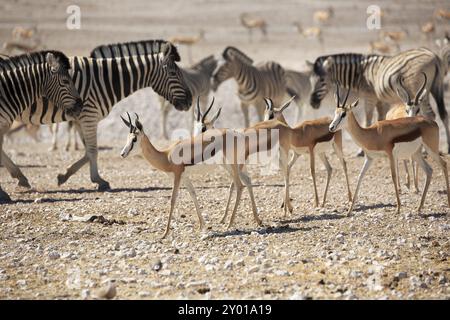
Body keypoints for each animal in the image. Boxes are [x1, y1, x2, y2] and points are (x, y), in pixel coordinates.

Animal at [7, 39, 192, 192]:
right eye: (174, 73)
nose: (190, 100)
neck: (104, 79)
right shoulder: (89, 115)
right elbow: (93, 151)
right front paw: (98, 180)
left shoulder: (82, 118)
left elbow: (88, 151)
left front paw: (65, 175)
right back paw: (20, 178)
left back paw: (20, 178)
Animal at [310, 48, 450, 154]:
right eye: (311, 79)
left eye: (321, 80)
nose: (312, 101)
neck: (362, 71)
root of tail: (434, 56)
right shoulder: (381, 101)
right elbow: (380, 118)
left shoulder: (370, 98)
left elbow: (368, 119)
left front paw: (360, 151)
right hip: (436, 88)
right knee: (443, 113)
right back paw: (447, 148)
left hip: (420, 91)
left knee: (430, 114)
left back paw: (425, 150)